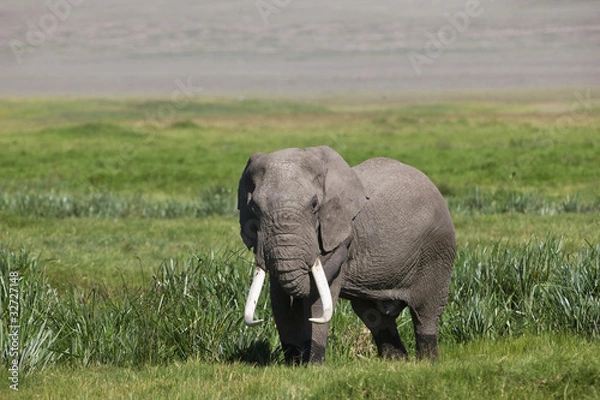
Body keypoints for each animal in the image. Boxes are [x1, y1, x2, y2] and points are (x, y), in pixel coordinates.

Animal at [239, 145, 454, 364]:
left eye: (314, 205)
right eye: (254, 207)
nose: (350, 239)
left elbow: (319, 298)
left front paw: (313, 365)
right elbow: (280, 301)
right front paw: (292, 365)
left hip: (436, 250)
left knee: (425, 309)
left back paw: (427, 361)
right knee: (373, 315)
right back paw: (395, 361)